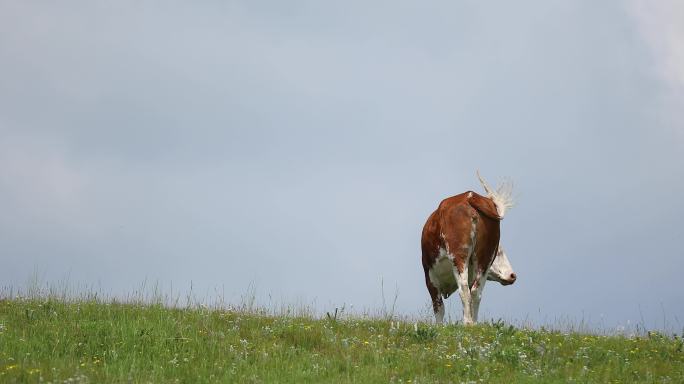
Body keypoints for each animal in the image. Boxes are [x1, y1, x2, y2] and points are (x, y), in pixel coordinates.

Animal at [420, 172, 516, 326]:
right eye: (500, 252)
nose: (513, 275)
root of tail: (469, 196)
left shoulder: (429, 275)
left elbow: (438, 306)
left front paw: (440, 327)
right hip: (485, 258)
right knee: (476, 291)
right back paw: (473, 324)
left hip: (458, 255)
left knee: (464, 288)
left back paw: (467, 322)